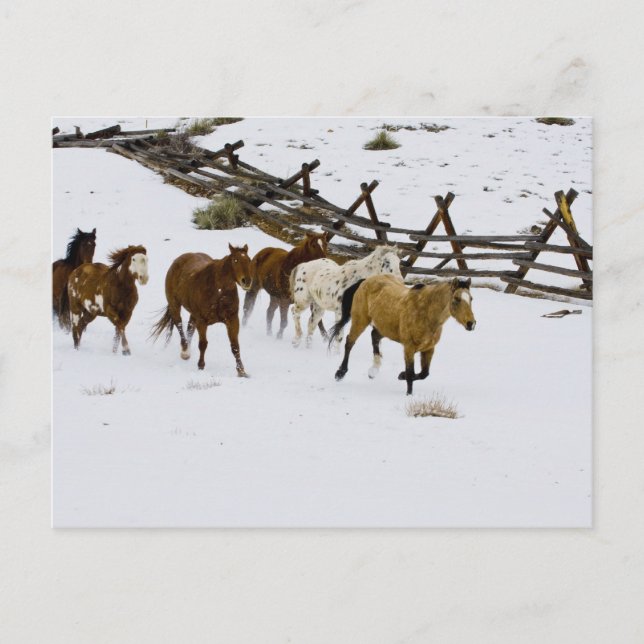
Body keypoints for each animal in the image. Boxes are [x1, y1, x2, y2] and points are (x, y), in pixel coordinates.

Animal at [150, 244, 252, 375]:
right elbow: (203, 344)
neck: (219, 291)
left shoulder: (233, 319)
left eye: (249, 260)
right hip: (175, 305)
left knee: (190, 327)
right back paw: (185, 352)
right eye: (235, 260)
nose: (247, 281)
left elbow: (235, 346)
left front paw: (241, 371)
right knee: (179, 324)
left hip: (193, 314)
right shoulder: (202, 321)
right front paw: (201, 366)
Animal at [329, 275, 476, 395]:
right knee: (350, 342)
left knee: (374, 336)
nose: (471, 323)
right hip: (360, 321)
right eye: (457, 298)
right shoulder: (409, 347)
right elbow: (411, 373)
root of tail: (366, 280)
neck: (426, 313)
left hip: (385, 327)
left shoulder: (429, 349)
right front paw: (408, 394)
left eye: (471, 298)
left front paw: (401, 375)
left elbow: (424, 374)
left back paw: (373, 370)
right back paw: (340, 373)